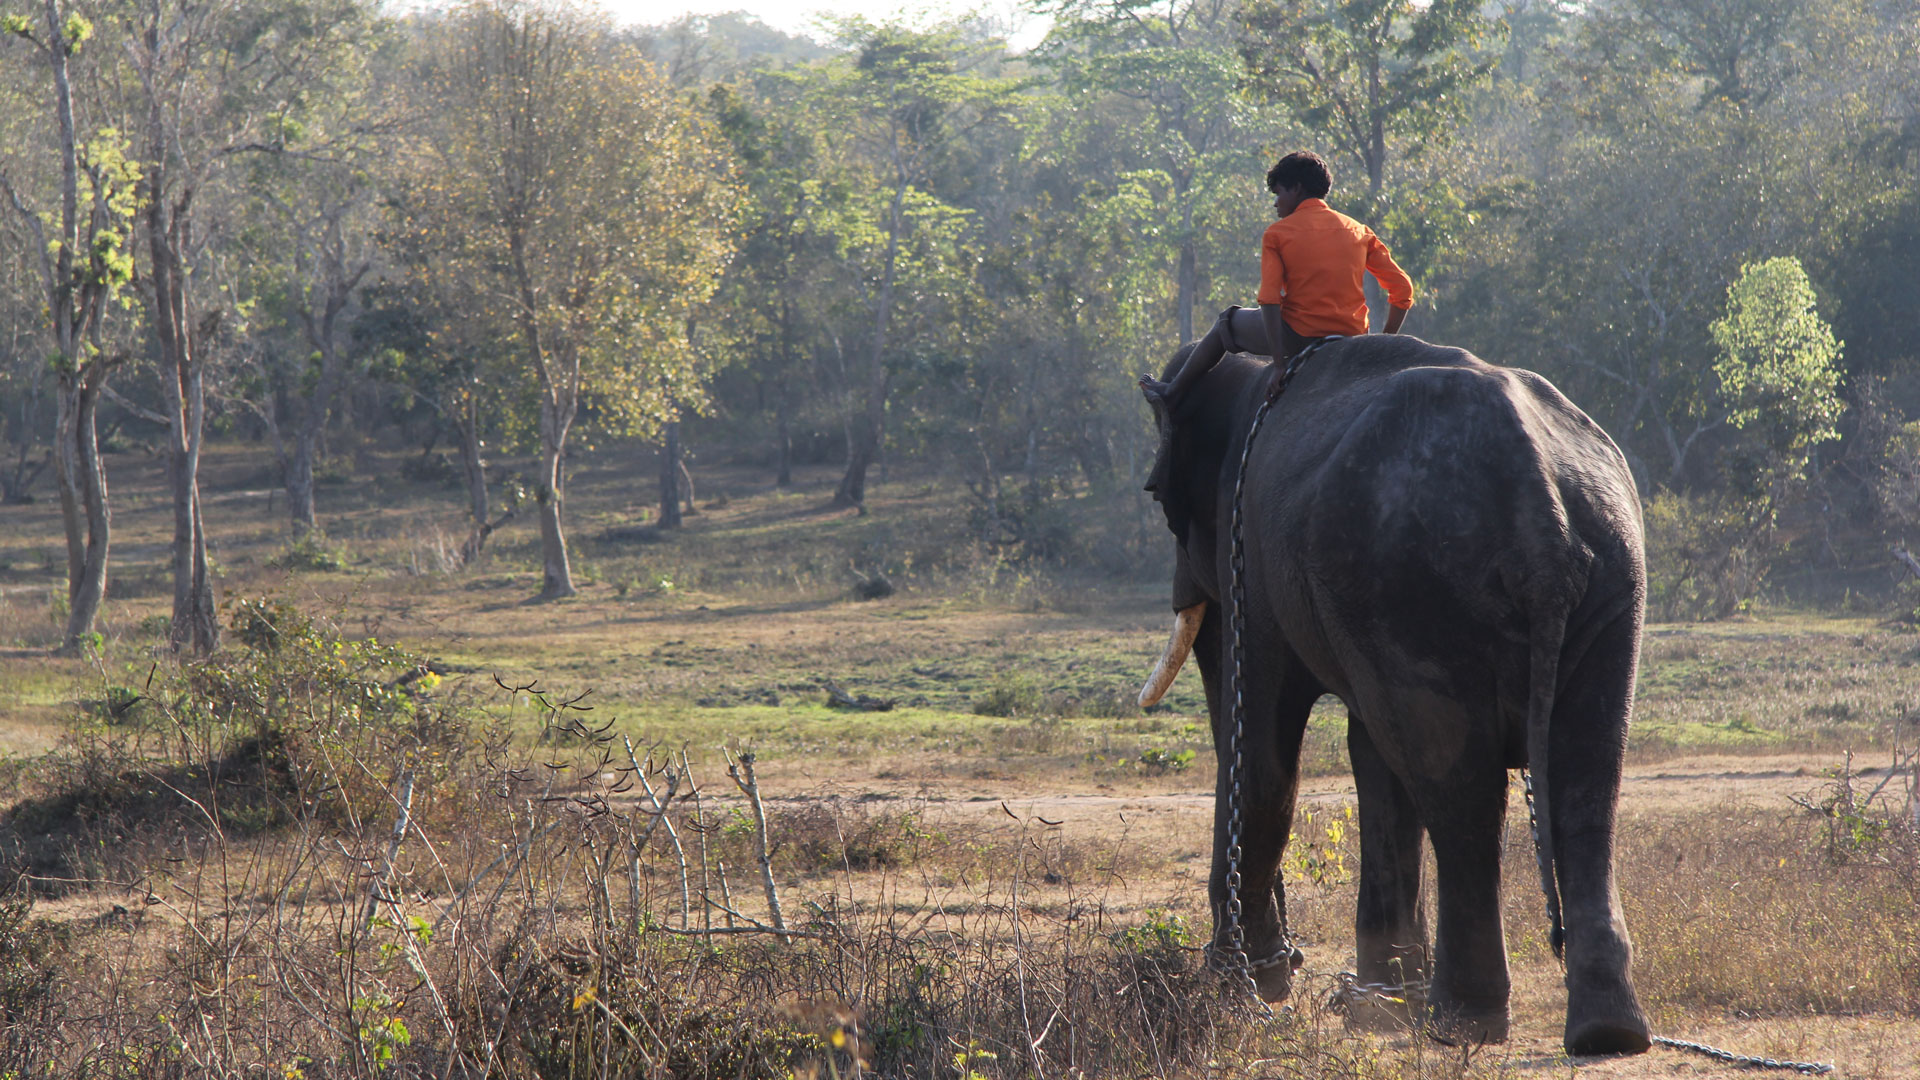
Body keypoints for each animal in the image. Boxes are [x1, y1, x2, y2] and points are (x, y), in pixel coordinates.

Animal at [1135, 335, 1652, 1056]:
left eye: (1158, 496)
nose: (1287, 963)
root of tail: (1541, 514)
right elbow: (1369, 753)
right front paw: (1372, 1000)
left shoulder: (1253, 563)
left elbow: (1262, 753)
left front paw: (1247, 988)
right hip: (1607, 574)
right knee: (1584, 779)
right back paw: (1606, 1032)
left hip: (1417, 581)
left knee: (1460, 790)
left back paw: (1459, 1021)